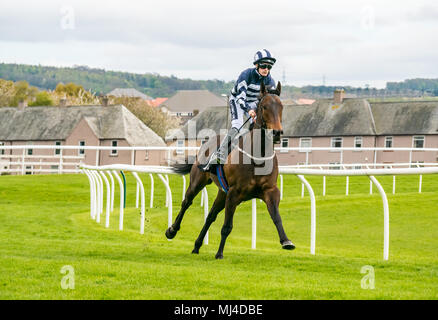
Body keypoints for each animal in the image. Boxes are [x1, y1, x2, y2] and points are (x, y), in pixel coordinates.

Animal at [166, 81, 296, 258]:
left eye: (281, 106)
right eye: (264, 107)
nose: (276, 132)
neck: (258, 158)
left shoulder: (270, 190)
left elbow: (276, 217)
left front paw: (286, 241)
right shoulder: (234, 193)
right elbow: (227, 226)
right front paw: (219, 253)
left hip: (222, 192)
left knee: (210, 216)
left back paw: (197, 246)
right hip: (198, 181)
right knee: (187, 202)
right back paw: (172, 231)